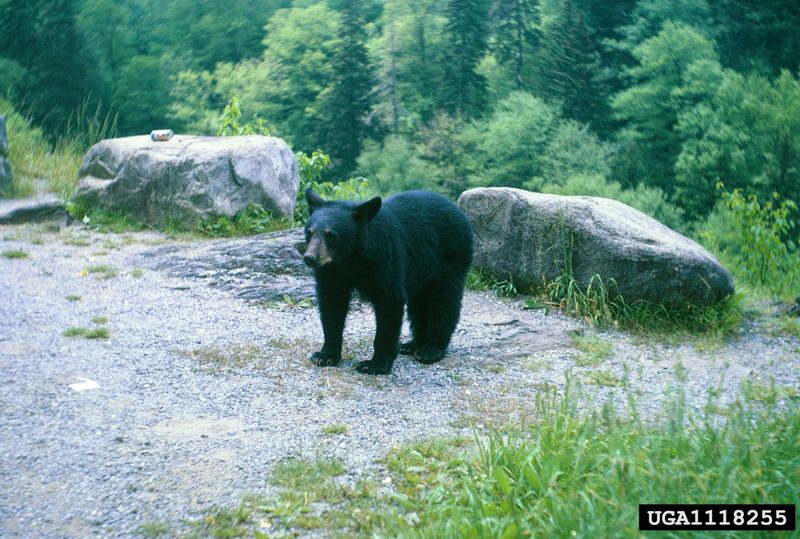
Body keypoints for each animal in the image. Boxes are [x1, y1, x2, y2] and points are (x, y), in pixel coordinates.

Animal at [304, 190, 472, 376]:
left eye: (330, 234)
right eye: (309, 232)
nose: (310, 258)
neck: (350, 257)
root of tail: (457, 210)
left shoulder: (384, 258)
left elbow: (390, 301)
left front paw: (374, 364)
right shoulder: (332, 270)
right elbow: (332, 305)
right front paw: (324, 355)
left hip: (451, 256)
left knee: (444, 301)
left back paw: (431, 350)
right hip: (422, 271)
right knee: (419, 305)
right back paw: (412, 345)